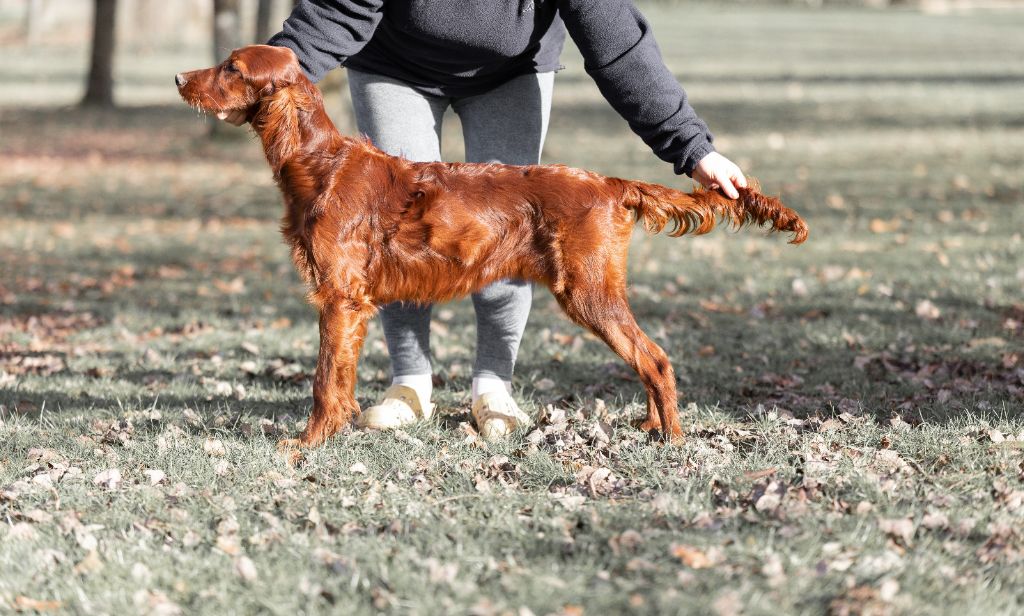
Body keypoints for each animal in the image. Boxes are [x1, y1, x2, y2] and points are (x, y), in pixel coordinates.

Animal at [178, 43, 806, 446]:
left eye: (232, 67)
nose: (181, 79)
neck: (319, 164)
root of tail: (608, 183)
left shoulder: (341, 299)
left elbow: (323, 381)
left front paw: (306, 445)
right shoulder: (350, 301)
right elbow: (337, 379)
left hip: (588, 291)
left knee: (654, 357)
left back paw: (671, 438)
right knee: (647, 359)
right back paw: (653, 428)